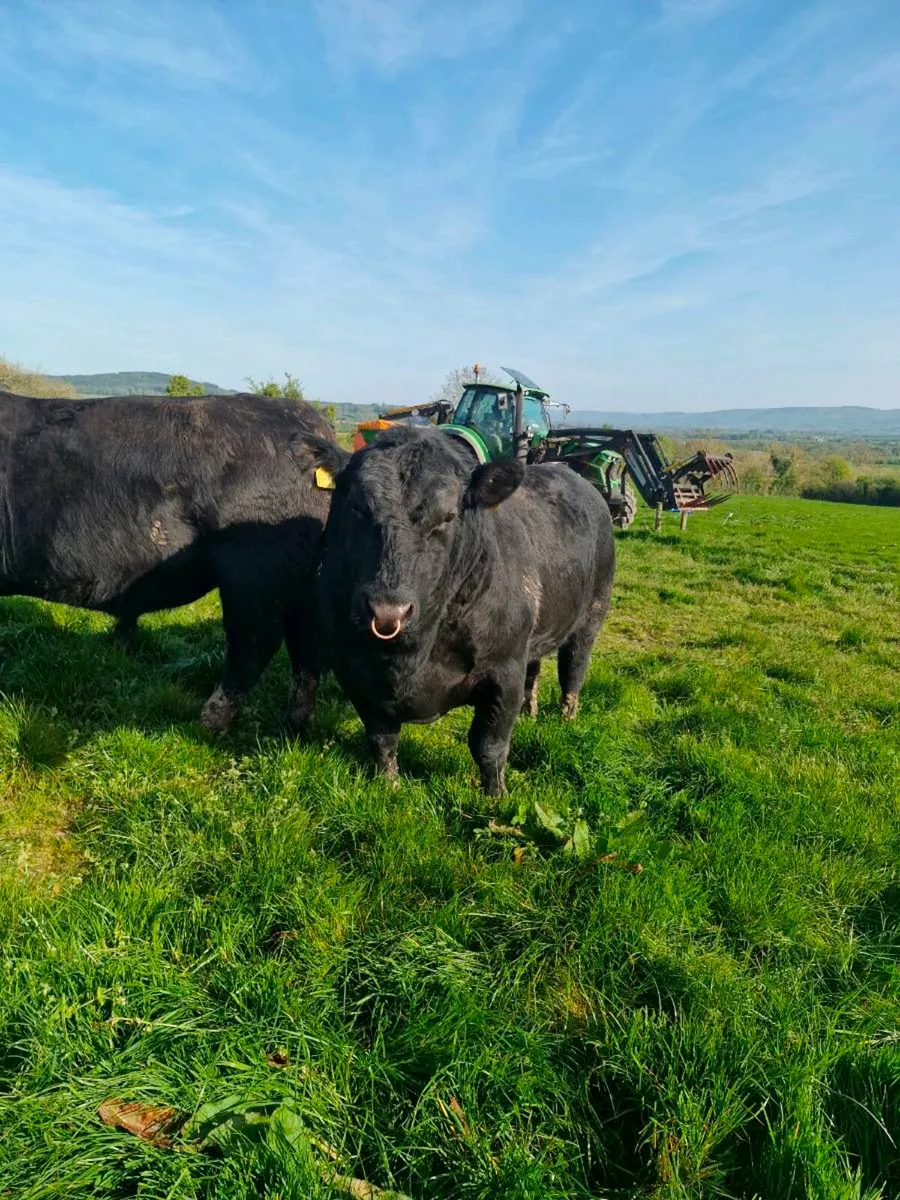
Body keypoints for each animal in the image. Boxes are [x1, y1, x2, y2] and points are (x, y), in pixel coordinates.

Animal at [0, 390, 347, 731]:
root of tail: (309, 419)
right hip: (300, 586)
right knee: (303, 646)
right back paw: (293, 725)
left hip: (251, 574)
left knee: (255, 642)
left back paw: (210, 722)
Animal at [315, 425, 615, 795]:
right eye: (356, 506)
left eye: (447, 516)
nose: (389, 612)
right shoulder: (353, 671)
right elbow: (382, 739)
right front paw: (389, 786)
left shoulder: (504, 670)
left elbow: (489, 745)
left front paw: (496, 795)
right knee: (536, 666)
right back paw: (530, 710)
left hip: (592, 613)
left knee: (573, 667)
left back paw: (566, 716)